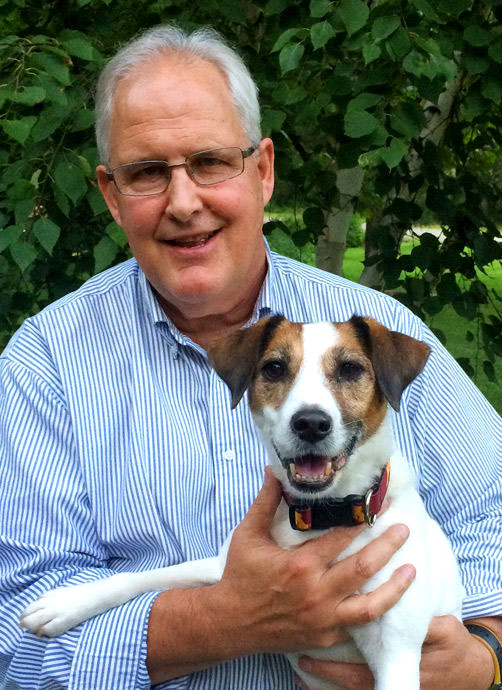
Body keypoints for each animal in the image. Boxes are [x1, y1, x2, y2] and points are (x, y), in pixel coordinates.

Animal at [19, 316, 462, 688]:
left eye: (350, 369)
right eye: (275, 368)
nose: (311, 423)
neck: (322, 515)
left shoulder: (396, 651)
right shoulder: (225, 571)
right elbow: (142, 577)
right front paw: (67, 603)